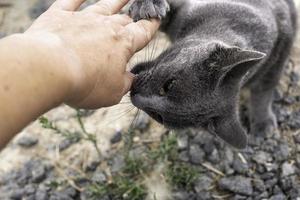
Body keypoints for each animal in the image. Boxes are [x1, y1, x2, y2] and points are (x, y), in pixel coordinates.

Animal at [129, 0, 298, 148]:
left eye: (158, 116)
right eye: (168, 85)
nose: (135, 95)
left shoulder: (279, 55)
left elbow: (263, 91)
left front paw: (263, 122)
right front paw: (147, 5)